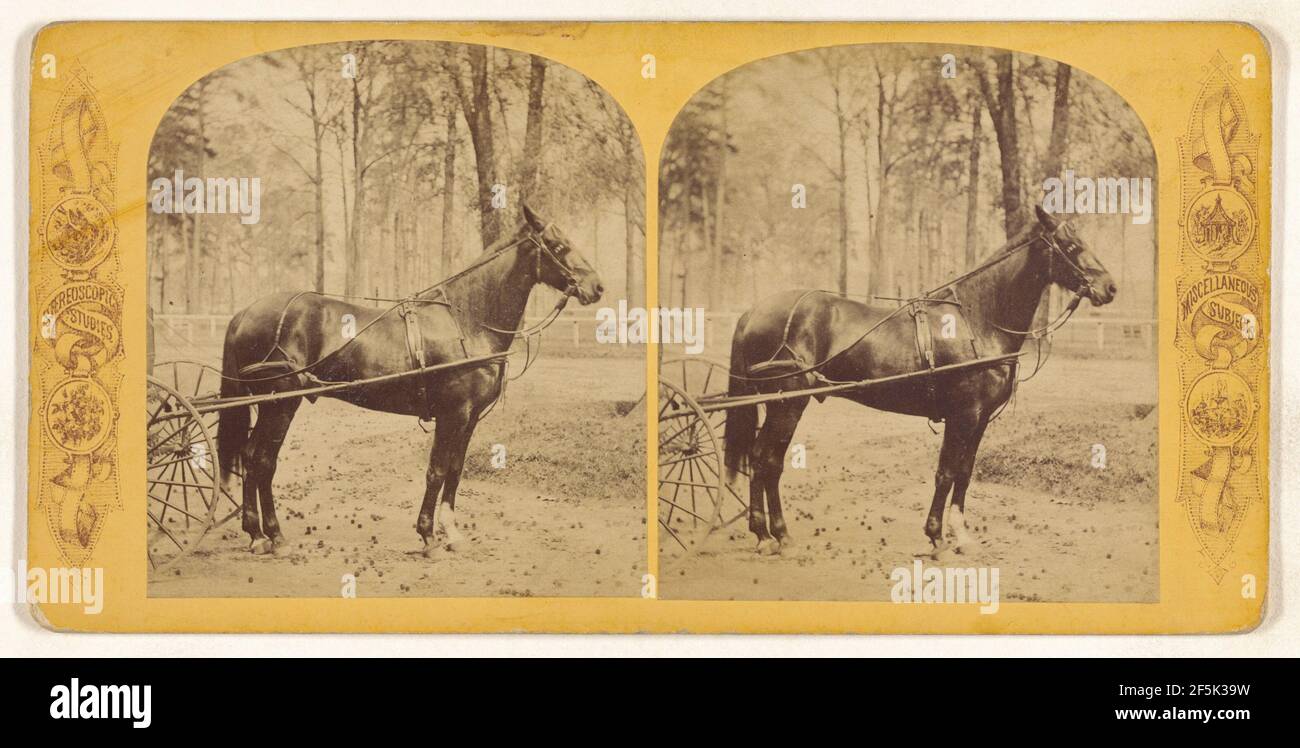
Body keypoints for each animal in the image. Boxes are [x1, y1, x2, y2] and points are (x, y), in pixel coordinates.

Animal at [216, 204, 604, 556]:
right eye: (558, 245)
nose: (596, 287)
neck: (467, 320)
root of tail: (244, 313)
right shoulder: (452, 414)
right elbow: (437, 470)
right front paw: (428, 536)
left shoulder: (470, 418)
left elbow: (455, 470)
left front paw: (452, 533)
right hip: (281, 403)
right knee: (261, 461)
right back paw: (269, 535)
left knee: (252, 458)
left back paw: (260, 534)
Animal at [722, 206, 1117, 557]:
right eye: (1070, 246)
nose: (1110, 287)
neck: (978, 319)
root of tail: (752, 311)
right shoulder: (963, 416)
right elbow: (946, 472)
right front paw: (936, 537)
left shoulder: (981, 420)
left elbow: (964, 473)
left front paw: (962, 537)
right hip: (787, 403)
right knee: (766, 461)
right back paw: (772, 535)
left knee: (762, 460)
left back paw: (769, 533)